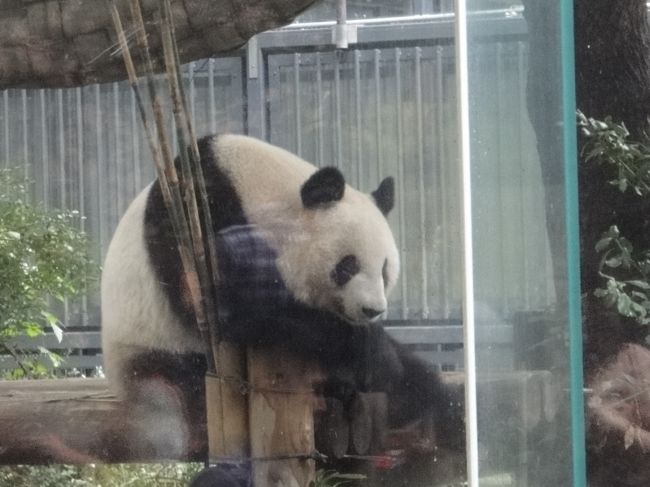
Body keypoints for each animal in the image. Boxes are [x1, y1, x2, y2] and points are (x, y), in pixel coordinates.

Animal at [101, 134, 456, 462]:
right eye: (348, 266)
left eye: (384, 269)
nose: (372, 310)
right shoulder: (201, 218)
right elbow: (229, 308)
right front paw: (369, 351)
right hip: (155, 351)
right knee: (182, 381)